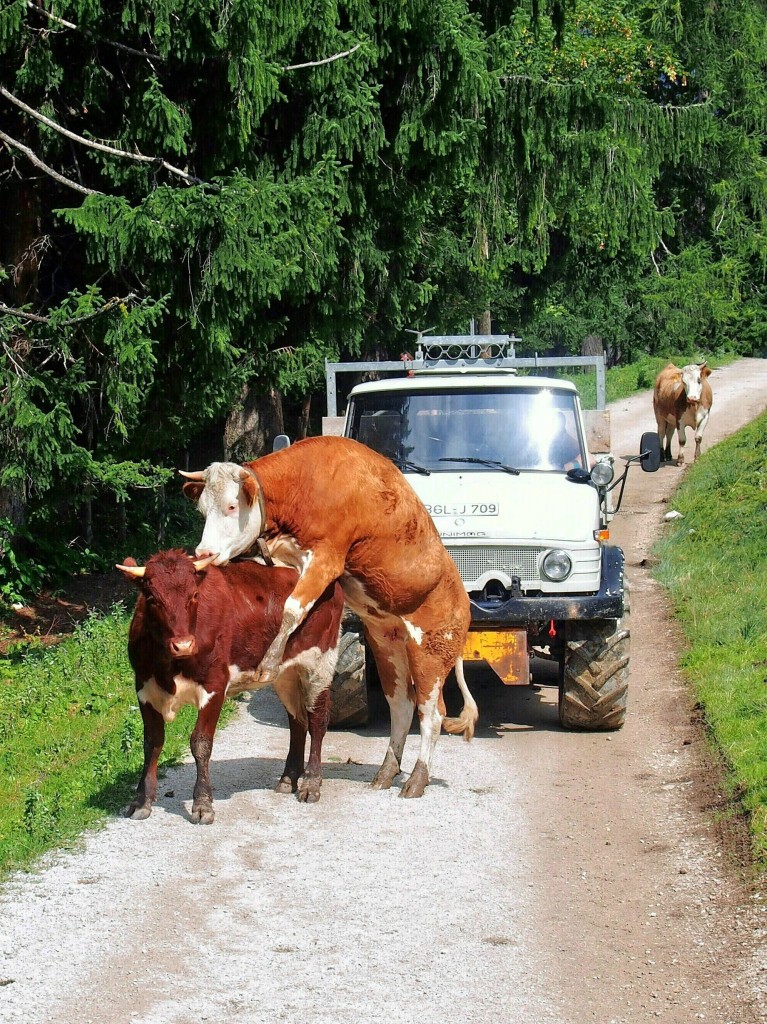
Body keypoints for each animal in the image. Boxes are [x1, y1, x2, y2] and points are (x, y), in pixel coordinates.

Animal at [117, 548, 344, 819]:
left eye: (194, 595)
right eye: (152, 598)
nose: (183, 645)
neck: (170, 666)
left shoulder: (215, 685)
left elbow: (201, 743)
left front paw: (202, 804)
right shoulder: (144, 688)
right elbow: (152, 742)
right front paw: (141, 801)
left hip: (320, 664)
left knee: (317, 721)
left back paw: (311, 783)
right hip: (284, 674)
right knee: (297, 721)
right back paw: (288, 778)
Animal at [182, 432, 475, 798]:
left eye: (231, 507)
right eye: (202, 509)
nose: (202, 553)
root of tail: (463, 601)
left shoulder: (327, 557)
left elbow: (293, 607)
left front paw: (269, 661)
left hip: (431, 653)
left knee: (432, 714)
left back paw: (416, 779)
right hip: (388, 645)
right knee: (402, 706)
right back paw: (386, 772)